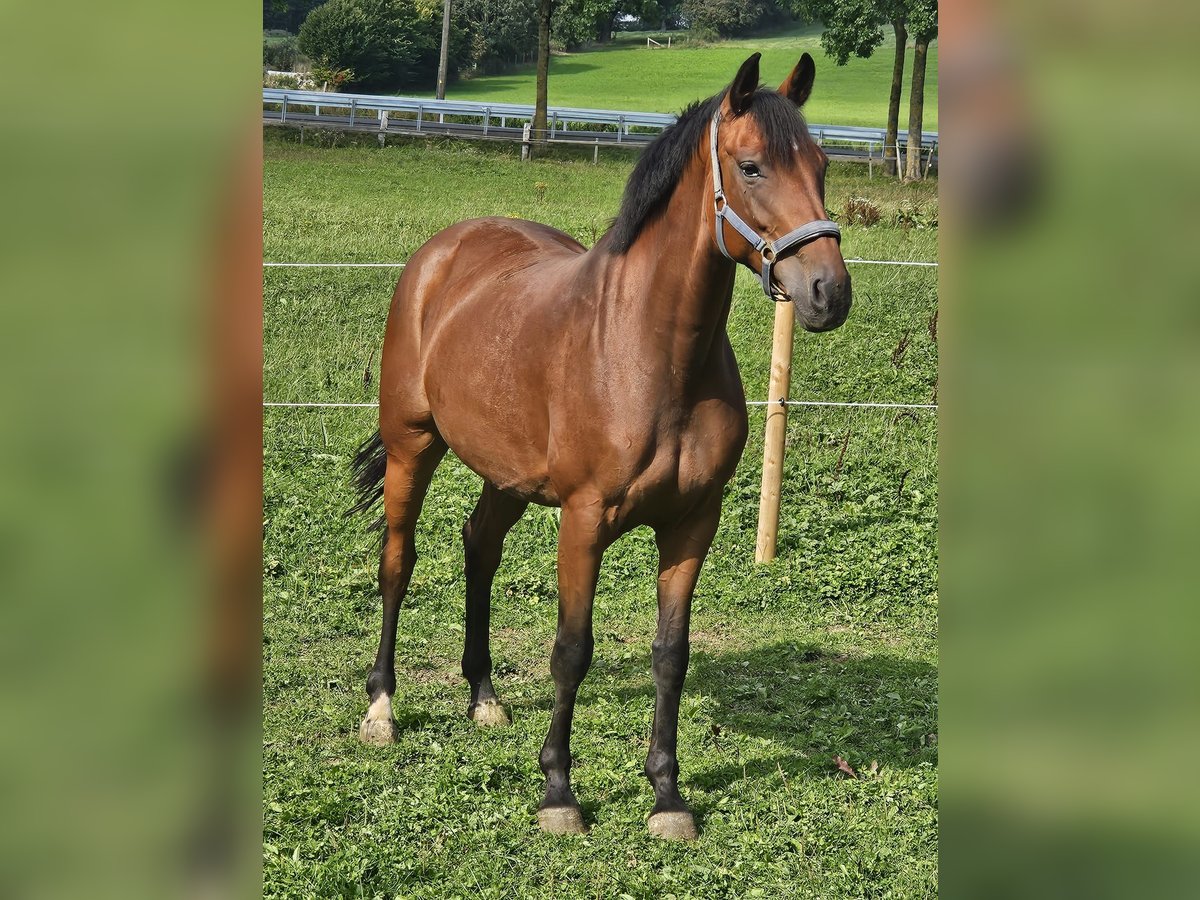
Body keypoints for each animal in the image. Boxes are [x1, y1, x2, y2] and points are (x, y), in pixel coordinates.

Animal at [350, 52, 849, 844]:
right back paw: (381, 709)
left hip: (508, 477)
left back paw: (483, 695)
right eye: (752, 167)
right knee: (398, 561)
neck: (649, 353)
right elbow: (572, 650)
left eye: (823, 165)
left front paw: (668, 796)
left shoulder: (692, 523)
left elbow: (671, 654)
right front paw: (558, 791)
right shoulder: (584, 522)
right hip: (412, 447)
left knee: (478, 546)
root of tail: (443, 251)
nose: (829, 292)